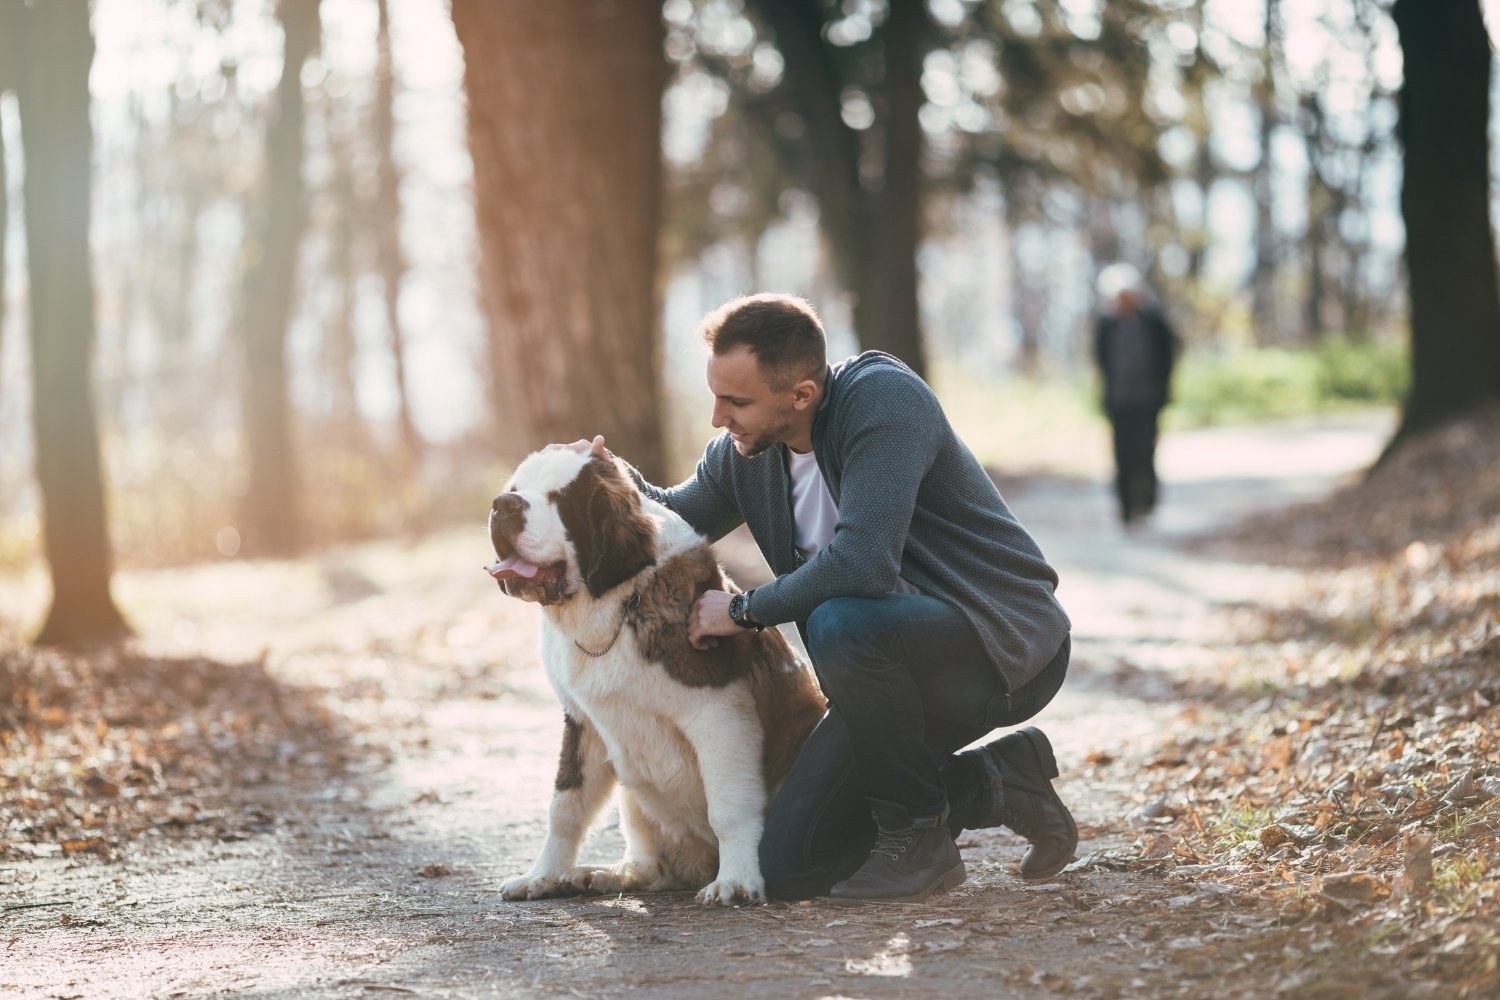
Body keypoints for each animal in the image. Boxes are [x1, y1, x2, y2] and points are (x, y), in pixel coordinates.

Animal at [486, 440, 828, 905]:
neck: (612, 603)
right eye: (516, 490)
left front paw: (737, 880)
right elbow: (566, 805)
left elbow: (729, 806)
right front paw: (543, 874)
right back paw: (603, 874)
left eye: (558, 499)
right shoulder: (582, 721)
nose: (503, 505)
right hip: (636, 798)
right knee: (652, 861)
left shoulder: (720, 712)